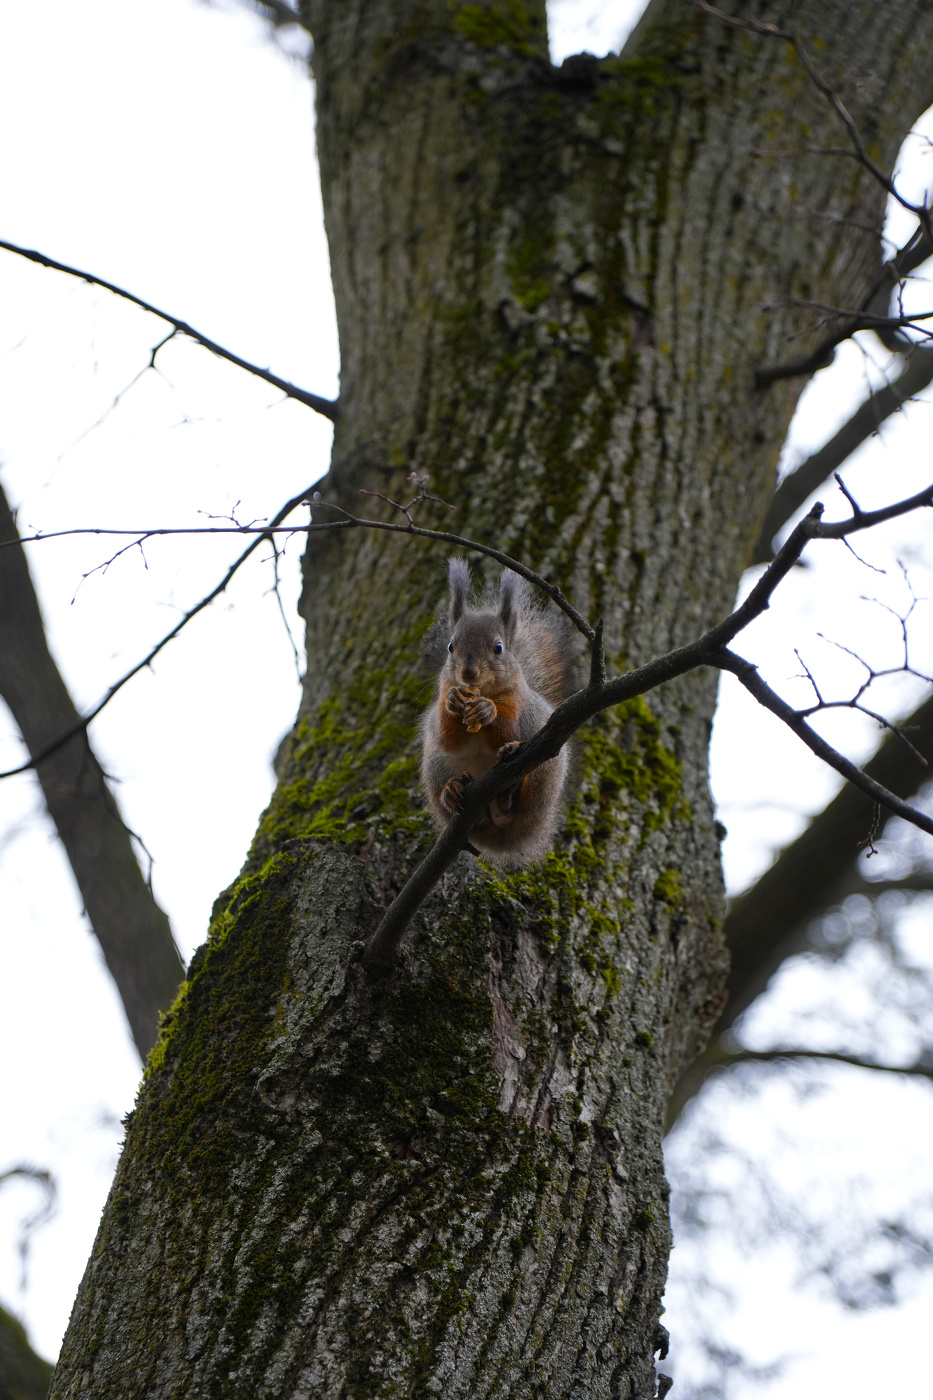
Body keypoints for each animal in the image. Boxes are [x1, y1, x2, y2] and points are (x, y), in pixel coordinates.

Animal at [420, 558, 572, 865]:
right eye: (451, 646)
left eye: (499, 648)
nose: (468, 673)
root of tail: (501, 844)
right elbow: (447, 738)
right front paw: (454, 702)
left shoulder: (519, 705)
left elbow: (507, 730)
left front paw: (487, 710)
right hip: (435, 765)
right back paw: (452, 792)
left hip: (545, 774)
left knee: (512, 814)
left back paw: (505, 799)